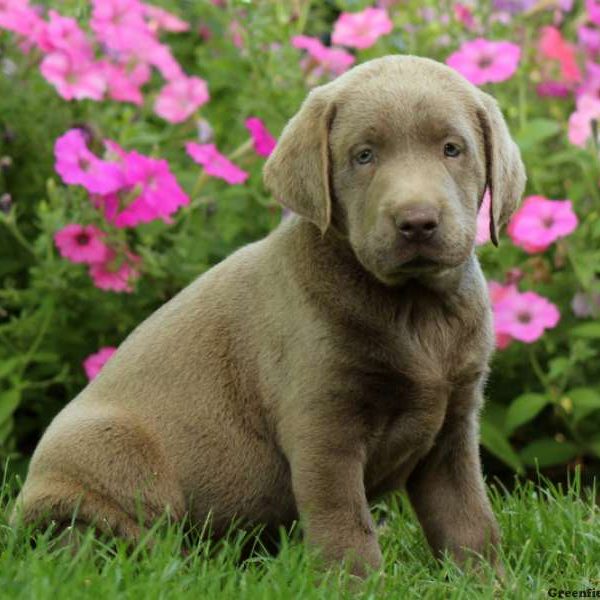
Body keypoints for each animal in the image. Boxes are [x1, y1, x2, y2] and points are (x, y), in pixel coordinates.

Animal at [11, 56, 524, 576]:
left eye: (452, 149)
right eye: (363, 156)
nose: (417, 222)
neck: (415, 307)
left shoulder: (453, 428)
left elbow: (468, 518)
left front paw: (487, 581)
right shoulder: (323, 428)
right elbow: (344, 523)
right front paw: (357, 582)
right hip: (108, 455)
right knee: (114, 543)